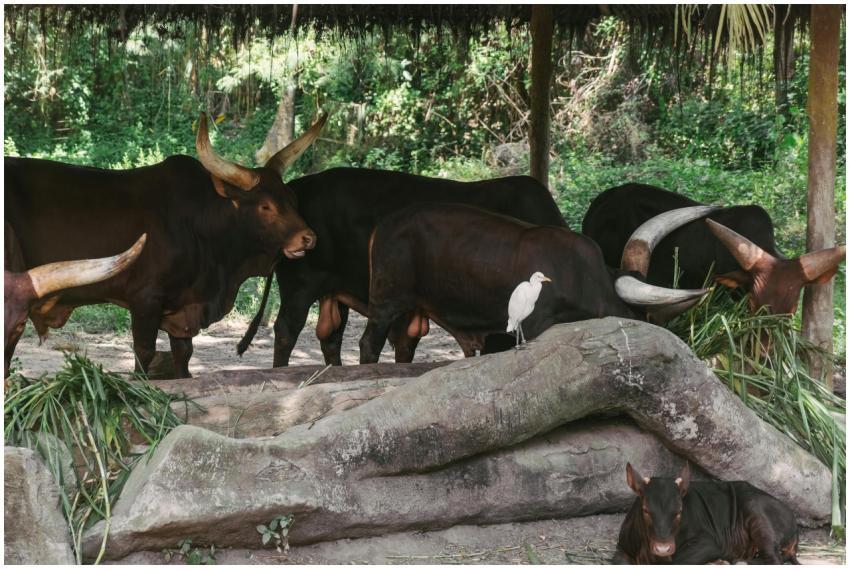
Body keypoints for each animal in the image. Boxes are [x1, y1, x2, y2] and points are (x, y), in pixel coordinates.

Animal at [613, 462, 800, 565]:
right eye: (645, 510)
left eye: (679, 512)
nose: (663, 548)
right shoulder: (622, 547)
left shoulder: (708, 543)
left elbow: (679, 561)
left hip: (758, 514)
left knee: (774, 559)